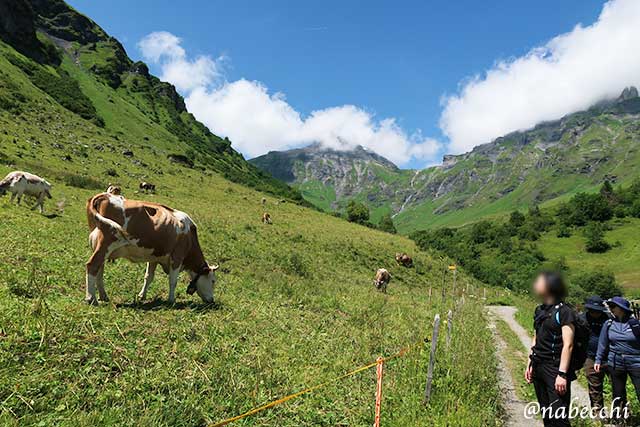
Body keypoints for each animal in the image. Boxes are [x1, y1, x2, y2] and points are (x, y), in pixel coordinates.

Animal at [84, 192, 218, 306]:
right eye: (213, 281)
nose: (212, 300)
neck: (190, 236)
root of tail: (104, 195)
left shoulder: (154, 257)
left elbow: (148, 277)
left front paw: (142, 296)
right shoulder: (177, 257)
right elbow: (173, 280)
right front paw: (171, 300)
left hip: (101, 247)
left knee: (99, 269)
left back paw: (103, 296)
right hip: (106, 244)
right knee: (92, 265)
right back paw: (91, 298)